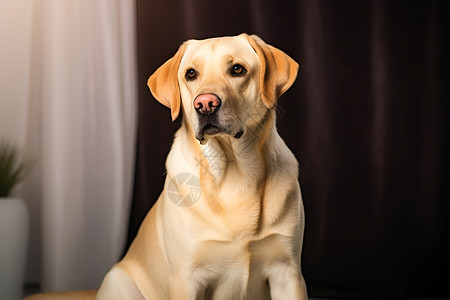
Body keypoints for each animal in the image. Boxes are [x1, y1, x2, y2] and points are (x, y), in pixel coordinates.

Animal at [26, 33, 308, 300]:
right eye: (191, 74)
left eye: (237, 69)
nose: (205, 104)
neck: (234, 172)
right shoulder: (186, 277)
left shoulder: (288, 271)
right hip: (120, 280)